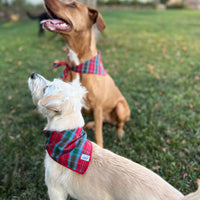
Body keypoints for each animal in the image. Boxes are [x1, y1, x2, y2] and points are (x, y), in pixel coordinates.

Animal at [41, 0, 130, 147]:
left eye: (73, 5)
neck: (77, 67)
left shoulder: (97, 106)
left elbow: (99, 135)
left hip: (121, 108)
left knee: (119, 123)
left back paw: (119, 132)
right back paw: (92, 124)